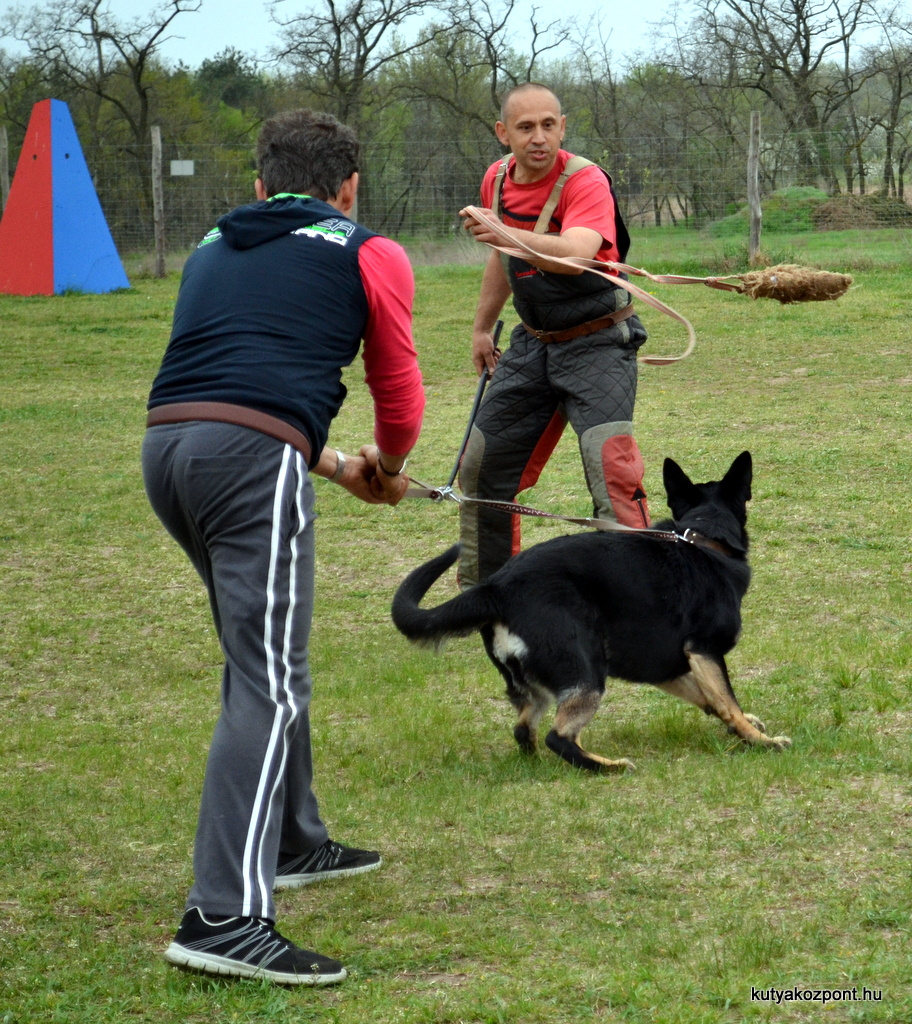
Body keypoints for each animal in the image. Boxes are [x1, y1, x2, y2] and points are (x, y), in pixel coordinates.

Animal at [393, 452, 790, 770]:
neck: (702, 538)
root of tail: (496, 588)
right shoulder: (703, 650)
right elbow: (726, 700)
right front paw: (761, 741)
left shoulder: (665, 666)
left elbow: (709, 698)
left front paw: (745, 728)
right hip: (584, 674)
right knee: (557, 736)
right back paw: (608, 767)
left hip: (540, 684)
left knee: (524, 729)